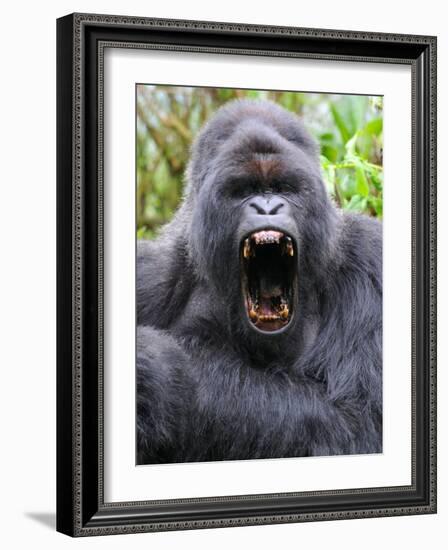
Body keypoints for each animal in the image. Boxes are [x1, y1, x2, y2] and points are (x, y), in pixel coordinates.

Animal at [136, 99, 382, 466]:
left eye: (284, 189)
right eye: (244, 191)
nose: (268, 207)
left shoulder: (369, 263)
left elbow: (358, 421)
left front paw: (163, 373)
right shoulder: (148, 276)